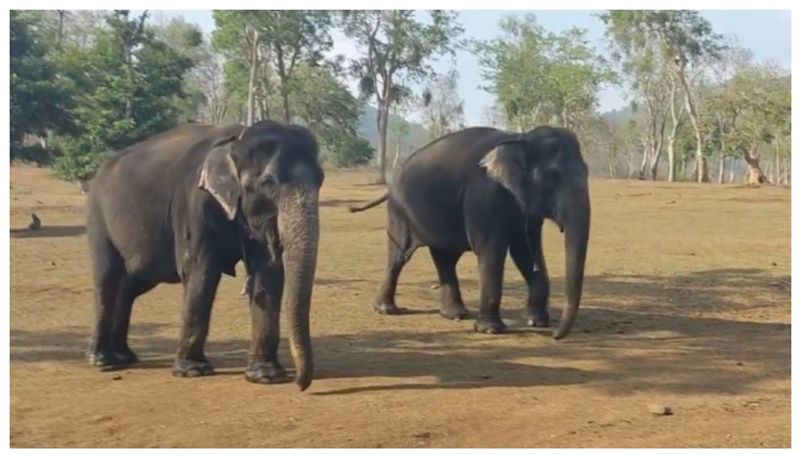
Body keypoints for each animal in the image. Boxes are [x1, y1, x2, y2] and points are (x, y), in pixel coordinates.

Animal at [86, 120, 324, 388]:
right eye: (269, 183)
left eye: (321, 180)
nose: (301, 384)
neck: (237, 140)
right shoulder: (194, 205)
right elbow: (201, 271)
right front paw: (193, 371)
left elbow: (268, 275)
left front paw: (266, 376)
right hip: (98, 217)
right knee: (107, 279)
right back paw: (103, 361)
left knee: (130, 286)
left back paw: (124, 357)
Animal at [348, 124, 588, 338]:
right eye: (553, 177)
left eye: (587, 172)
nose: (555, 334)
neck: (520, 137)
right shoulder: (484, 195)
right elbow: (491, 249)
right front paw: (490, 330)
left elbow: (525, 250)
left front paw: (536, 322)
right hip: (400, 212)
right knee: (400, 256)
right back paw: (387, 310)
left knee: (445, 258)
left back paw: (455, 315)